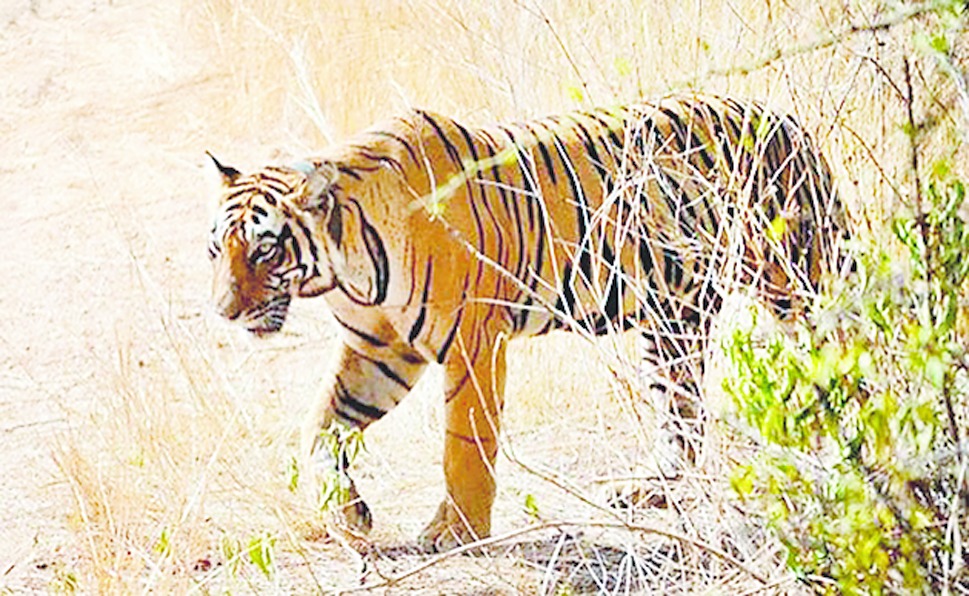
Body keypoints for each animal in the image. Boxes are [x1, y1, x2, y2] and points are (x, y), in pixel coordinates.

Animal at [207, 94, 848, 552]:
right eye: (217, 249)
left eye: (264, 250)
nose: (223, 311)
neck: (348, 268)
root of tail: (788, 119)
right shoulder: (379, 351)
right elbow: (320, 428)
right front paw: (349, 516)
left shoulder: (472, 343)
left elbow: (465, 446)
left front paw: (456, 532)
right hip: (673, 320)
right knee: (682, 415)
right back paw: (650, 491)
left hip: (800, 284)